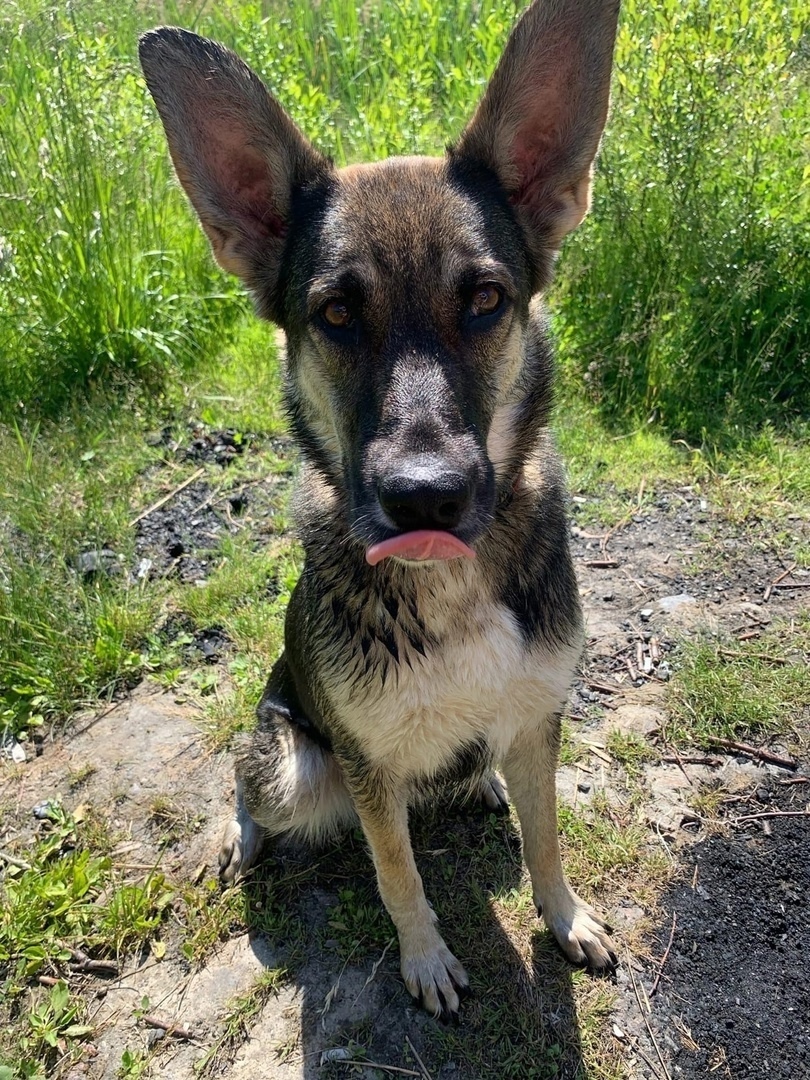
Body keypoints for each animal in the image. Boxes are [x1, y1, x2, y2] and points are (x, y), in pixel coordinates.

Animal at [139, 0, 622, 1019]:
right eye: (334, 316)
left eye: (485, 299)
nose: (424, 496)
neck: (449, 586)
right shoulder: (365, 769)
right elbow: (397, 868)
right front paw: (425, 957)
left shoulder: (537, 722)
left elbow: (547, 837)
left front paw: (567, 918)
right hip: (291, 760)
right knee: (250, 784)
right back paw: (234, 836)